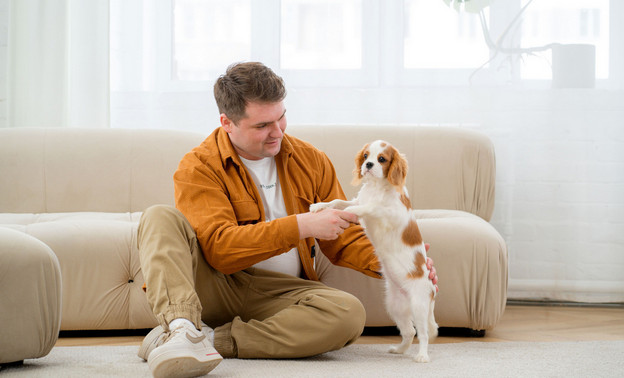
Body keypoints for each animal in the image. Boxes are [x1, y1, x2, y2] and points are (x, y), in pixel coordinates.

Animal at [308, 140, 436, 364]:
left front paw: (345, 213)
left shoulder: (388, 212)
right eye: (366, 156)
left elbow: (367, 208)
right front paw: (319, 206)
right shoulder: (357, 200)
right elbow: (337, 202)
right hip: (395, 306)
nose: (367, 165)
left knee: (423, 334)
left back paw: (421, 356)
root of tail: (432, 289)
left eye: (382, 159)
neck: (376, 187)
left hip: (419, 307)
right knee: (409, 332)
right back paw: (399, 350)